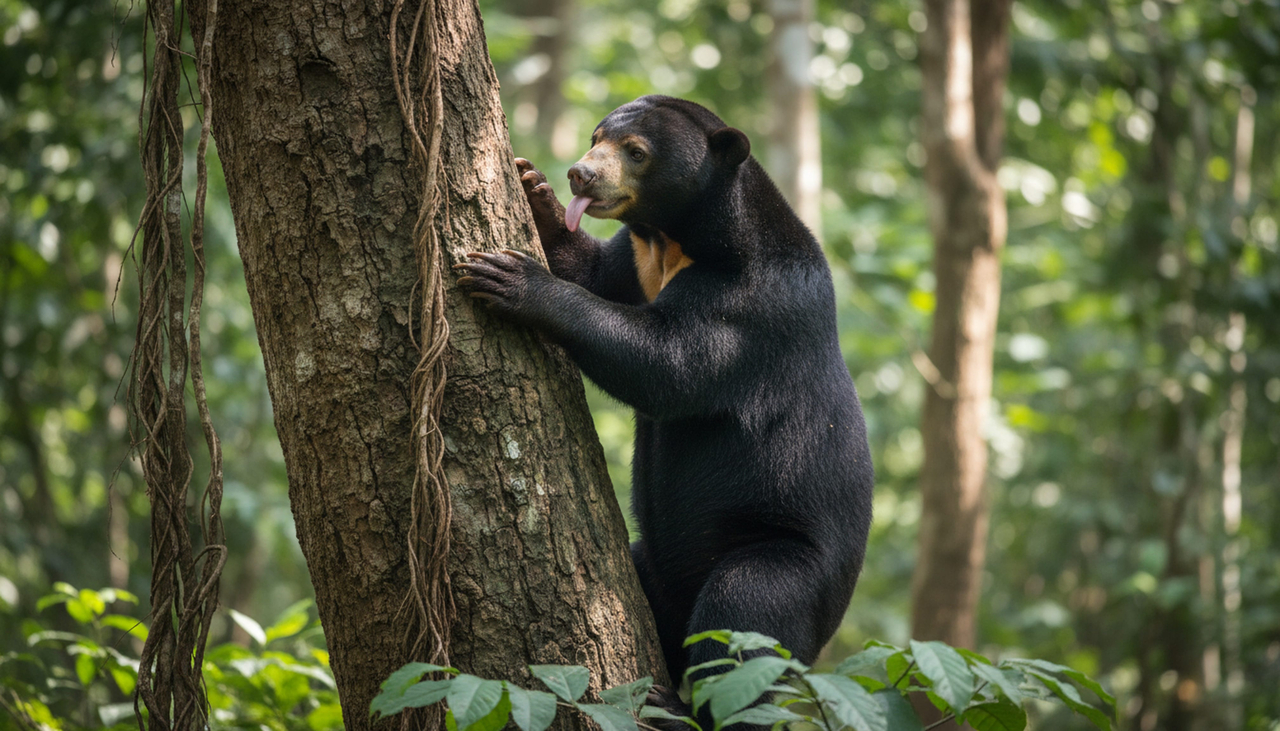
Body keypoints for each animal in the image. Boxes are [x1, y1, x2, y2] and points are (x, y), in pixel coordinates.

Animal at [456, 95, 873, 723]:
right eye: (597, 136)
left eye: (636, 152)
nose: (581, 174)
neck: (677, 241)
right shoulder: (637, 264)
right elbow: (598, 275)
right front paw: (535, 191)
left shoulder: (750, 306)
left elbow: (667, 362)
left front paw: (512, 278)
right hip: (655, 564)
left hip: (789, 555)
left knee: (745, 621)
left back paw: (679, 705)